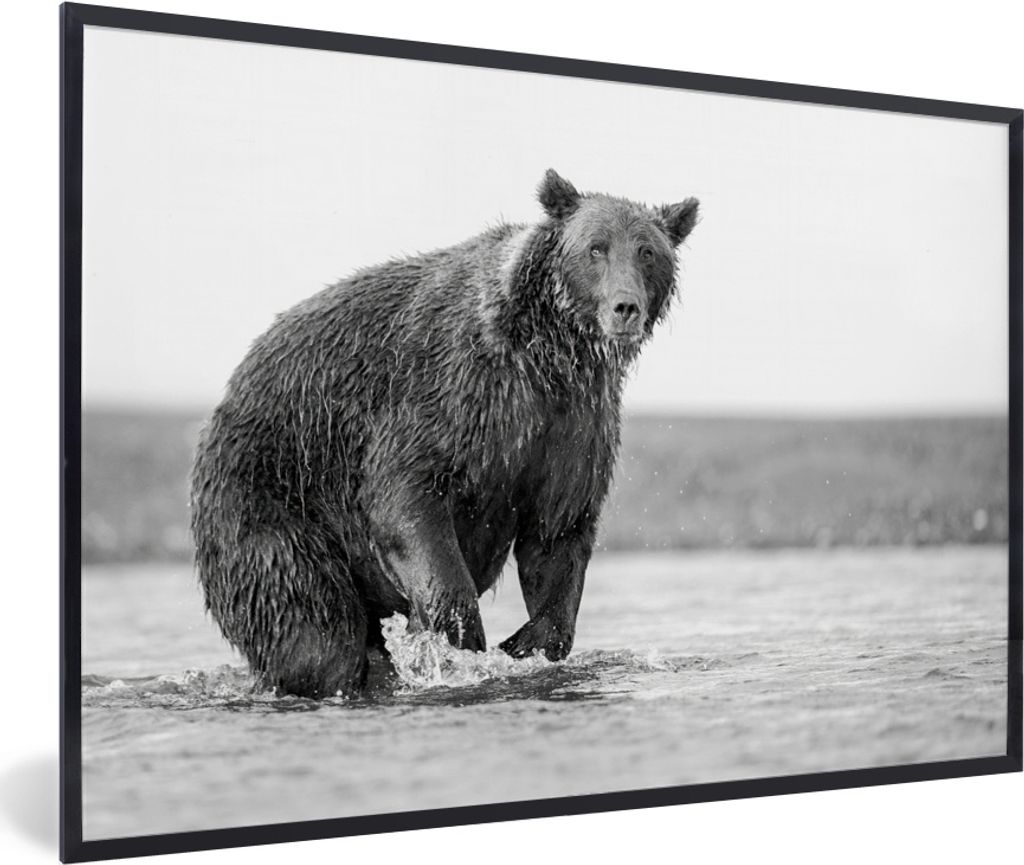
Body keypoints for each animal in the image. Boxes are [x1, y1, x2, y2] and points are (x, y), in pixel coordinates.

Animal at [189, 169, 699, 698]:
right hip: (275, 498)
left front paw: (525, 644)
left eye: (648, 252)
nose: (626, 307)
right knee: (316, 629)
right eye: (595, 248)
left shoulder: (571, 423)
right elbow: (406, 499)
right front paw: (460, 644)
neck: (546, 353)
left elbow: (556, 532)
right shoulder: (449, 391)